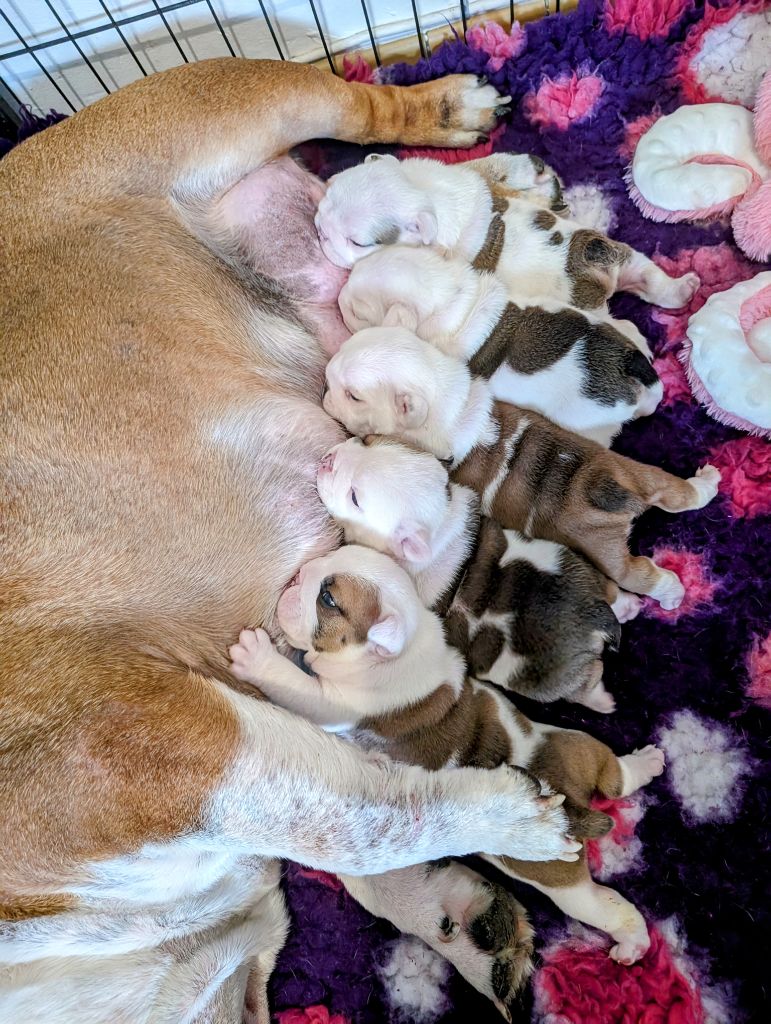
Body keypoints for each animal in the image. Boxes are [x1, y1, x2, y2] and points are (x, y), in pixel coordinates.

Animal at [1, 58, 567, 1023]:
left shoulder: (137, 740)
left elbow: (359, 824)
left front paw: (517, 819)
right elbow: (358, 821)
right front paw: (469, 919)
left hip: (205, 110)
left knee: (348, 103)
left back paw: (456, 115)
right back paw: (504, 183)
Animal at [229, 544, 665, 970]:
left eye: (328, 599)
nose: (298, 574)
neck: (399, 654)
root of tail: (575, 802)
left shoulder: (332, 703)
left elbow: (296, 686)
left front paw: (256, 657)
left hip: (560, 879)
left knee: (604, 906)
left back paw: (633, 943)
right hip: (578, 745)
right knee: (615, 775)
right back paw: (646, 763)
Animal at [315, 153, 700, 312]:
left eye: (357, 242)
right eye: (328, 192)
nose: (320, 230)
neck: (420, 190)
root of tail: (592, 279)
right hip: (615, 252)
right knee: (647, 275)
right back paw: (681, 289)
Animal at [317, 435, 630, 712]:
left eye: (354, 498)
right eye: (366, 439)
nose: (327, 461)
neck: (440, 528)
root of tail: (592, 615)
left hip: (547, 679)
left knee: (586, 681)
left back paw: (601, 701)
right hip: (578, 563)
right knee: (610, 590)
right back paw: (628, 605)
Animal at [322, 328, 721, 607]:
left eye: (353, 395)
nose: (325, 377)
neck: (448, 402)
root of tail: (613, 491)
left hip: (603, 550)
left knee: (636, 575)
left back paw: (671, 594)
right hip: (637, 472)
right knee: (675, 492)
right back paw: (706, 483)